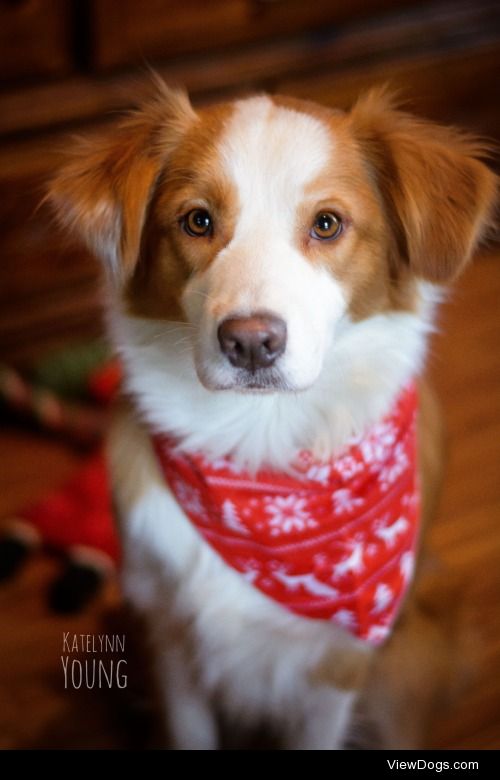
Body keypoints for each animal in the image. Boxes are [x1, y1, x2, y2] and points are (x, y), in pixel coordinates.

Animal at [48, 80, 498, 748]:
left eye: (328, 224)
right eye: (198, 220)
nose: (251, 342)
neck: (259, 447)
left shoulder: (337, 668)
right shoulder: (172, 641)